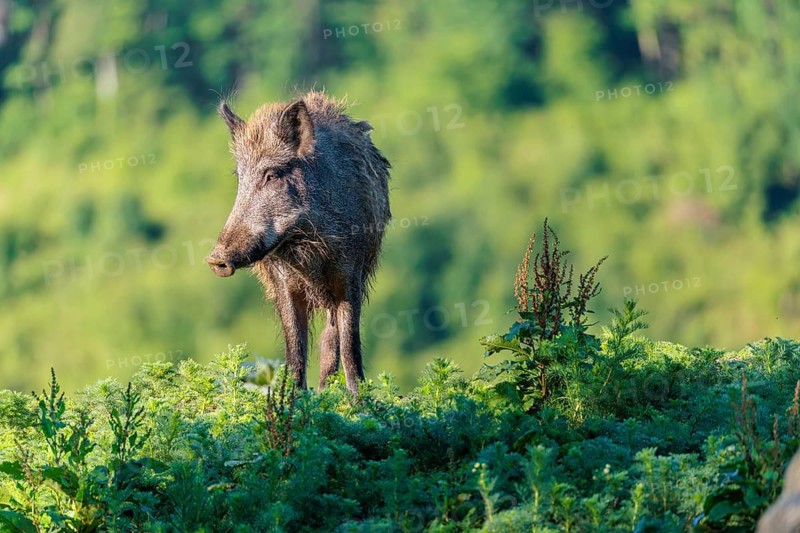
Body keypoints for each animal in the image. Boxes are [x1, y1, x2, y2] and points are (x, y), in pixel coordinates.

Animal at [205, 91, 391, 395]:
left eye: (272, 175)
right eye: (239, 178)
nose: (215, 258)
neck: (306, 242)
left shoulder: (351, 273)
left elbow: (349, 344)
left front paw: (359, 400)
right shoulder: (282, 282)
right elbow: (295, 351)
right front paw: (295, 398)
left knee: (330, 338)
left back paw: (328, 389)